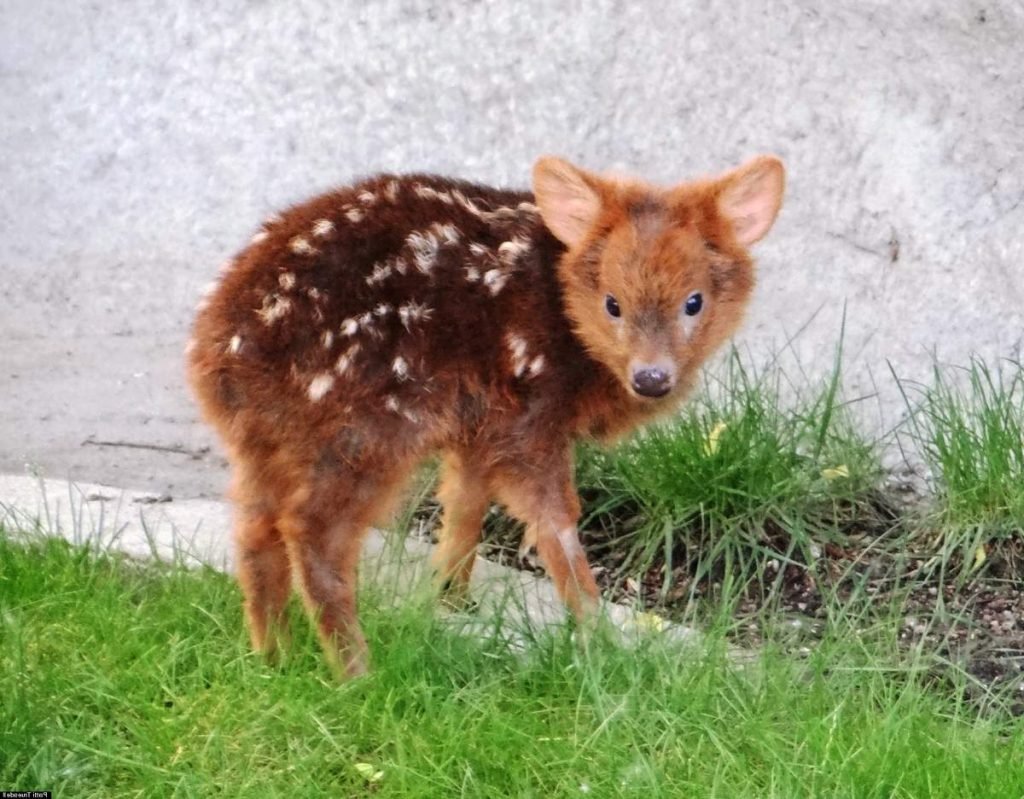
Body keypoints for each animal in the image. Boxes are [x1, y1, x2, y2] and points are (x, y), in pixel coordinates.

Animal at [190, 154, 782, 676]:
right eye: (613, 303)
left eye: (694, 301)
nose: (652, 378)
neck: (563, 310)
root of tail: (219, 351)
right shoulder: (530, 414)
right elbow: (554, 520)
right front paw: (598, 637)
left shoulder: (479, 419)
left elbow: (465, 499)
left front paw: (448, 598)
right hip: (369, 425)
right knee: (313, 531)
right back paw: (356, 671)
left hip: (266, 437)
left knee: (255, 529)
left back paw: (274, 659)